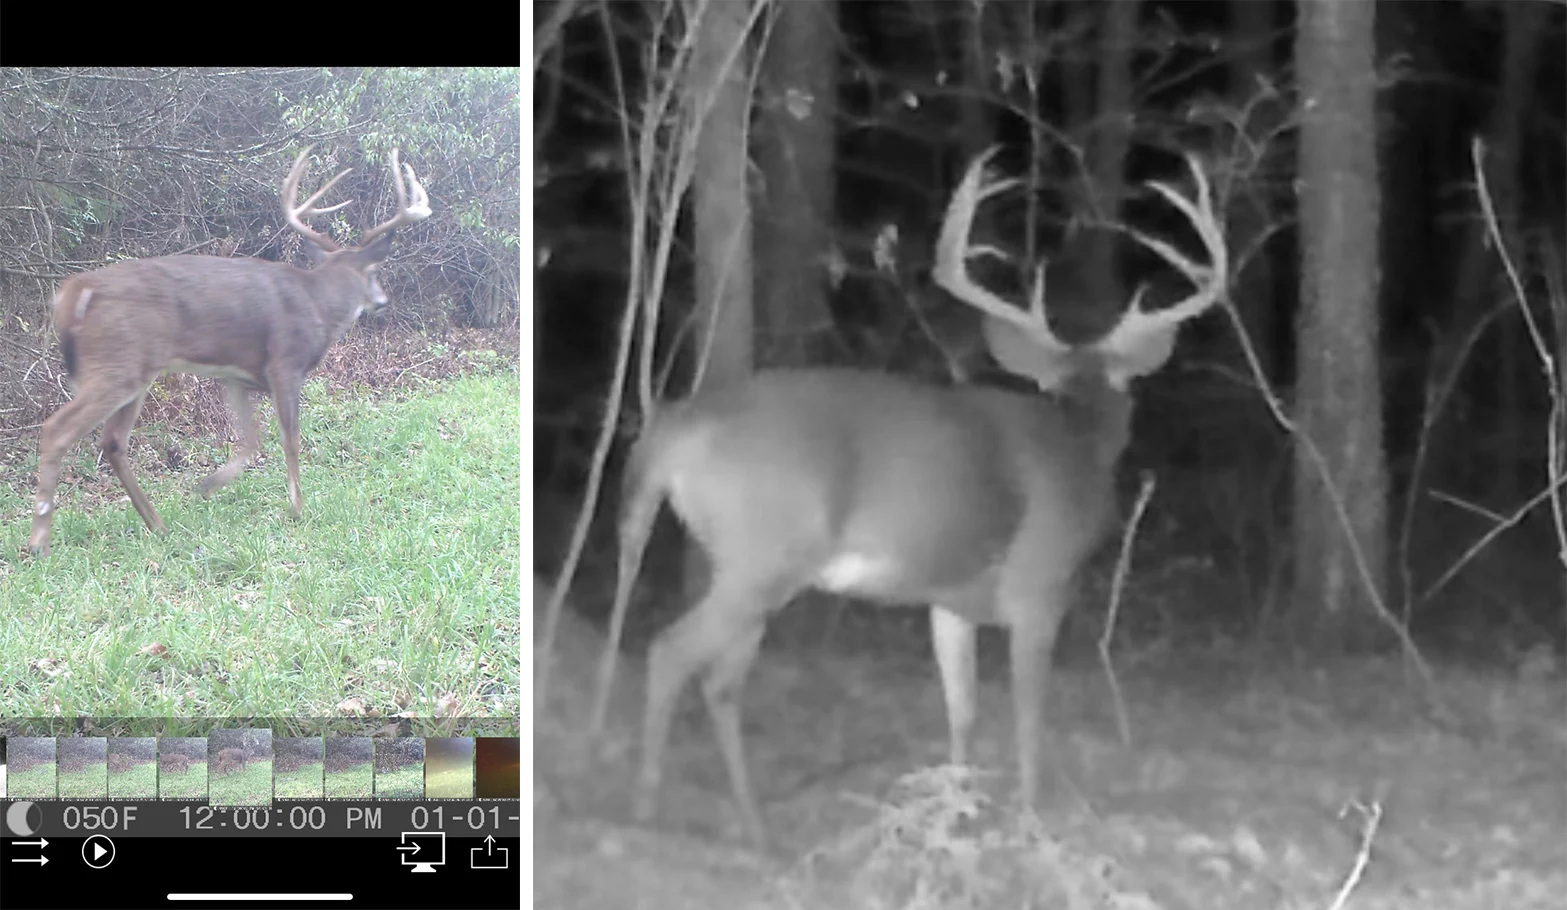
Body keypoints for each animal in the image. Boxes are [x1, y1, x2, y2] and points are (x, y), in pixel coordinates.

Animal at [30, 144, 432, 554]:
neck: (320, 305)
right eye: (373, 272)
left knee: (112, 441)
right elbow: (290, 439)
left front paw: (207, 486)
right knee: (58, 429)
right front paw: (297, 509)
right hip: (118, 363)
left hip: (133, 370)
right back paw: (39, 540)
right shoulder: (285, 363)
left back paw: (157, 524)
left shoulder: (237, 377)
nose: (382, 301)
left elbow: (250, 442)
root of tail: (77, 291)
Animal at [592, 145, 1228, 845]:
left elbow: (963, 710)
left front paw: (955, 812)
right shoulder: (1040, 588)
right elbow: (1027, 717)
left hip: (740, 564)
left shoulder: (947, 600)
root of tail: (672, 428)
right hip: (764, 555)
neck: (1077, 443)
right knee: (671, 653)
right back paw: (647, 809)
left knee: (720, 681)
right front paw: (1029, 821)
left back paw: (755, 824)